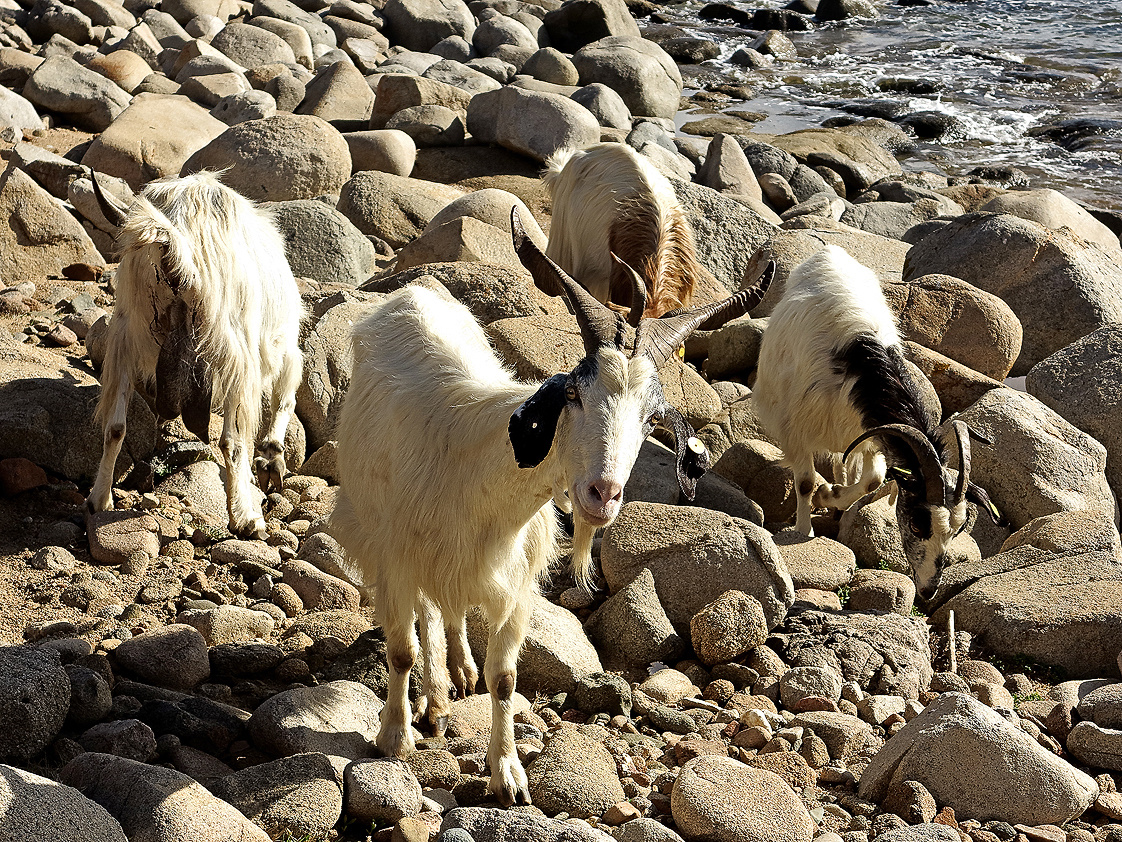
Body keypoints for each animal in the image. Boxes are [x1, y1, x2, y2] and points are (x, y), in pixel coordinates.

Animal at [84, 171, 302, 541]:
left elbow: (115, 424)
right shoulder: (270, 349)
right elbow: (273, 408)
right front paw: (266, 471)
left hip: (130, 332)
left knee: (115, 424)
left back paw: (100, 500)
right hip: (238, 346)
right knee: (237, 435)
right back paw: (247, 515)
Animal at [332, 207, 771, 808]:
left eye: (650, 418)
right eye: (574, 395)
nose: (602, 495)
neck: (473, 473)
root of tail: (413, 294)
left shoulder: (514, 584)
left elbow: (505, 679)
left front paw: (508, 774)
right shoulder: (395, 557)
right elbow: (399, 651)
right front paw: (394, 738)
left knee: (446, 610)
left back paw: (456, 676)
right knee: (425, 613)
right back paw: (436, 698)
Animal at [753, 243, 1000, 601]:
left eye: (957, 530)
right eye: (917, 523)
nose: (928, 591)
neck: (864, 373)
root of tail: (830, 252)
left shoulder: (868, 435)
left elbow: (872, 480)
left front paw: (831, 496)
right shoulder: (796, 428)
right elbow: (806, 483)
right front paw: (804, 529)